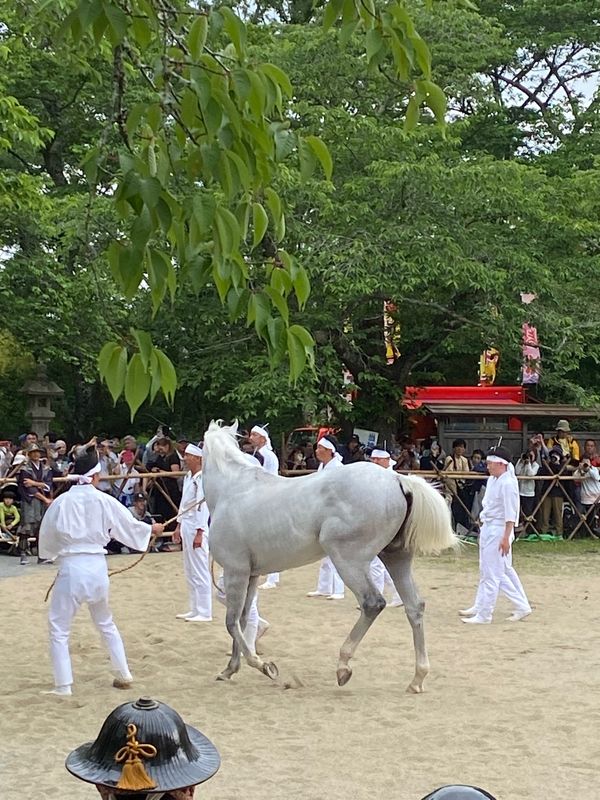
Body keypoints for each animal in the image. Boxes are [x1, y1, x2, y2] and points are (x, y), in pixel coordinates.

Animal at [202, 421, 458, 692]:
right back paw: (417, 679)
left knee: (373, 603)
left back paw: (343, 666)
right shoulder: (251, 575)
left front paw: (264, 667)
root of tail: (397, 479)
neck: (233, 490)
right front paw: (230, 669)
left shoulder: (235, 572)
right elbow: (241, 620)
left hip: (347, 560)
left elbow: (231, 622)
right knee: (414, 607)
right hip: (396, 558)